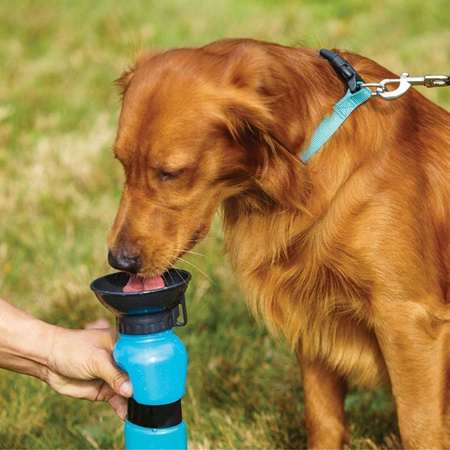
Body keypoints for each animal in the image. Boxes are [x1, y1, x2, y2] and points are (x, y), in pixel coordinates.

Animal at [107, 39, 448, 450]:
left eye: (171, 173)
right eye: (121, 163)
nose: (119, 261)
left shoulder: (409, 321)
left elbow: (418, 429)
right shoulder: (313, 313)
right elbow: (322, 419)